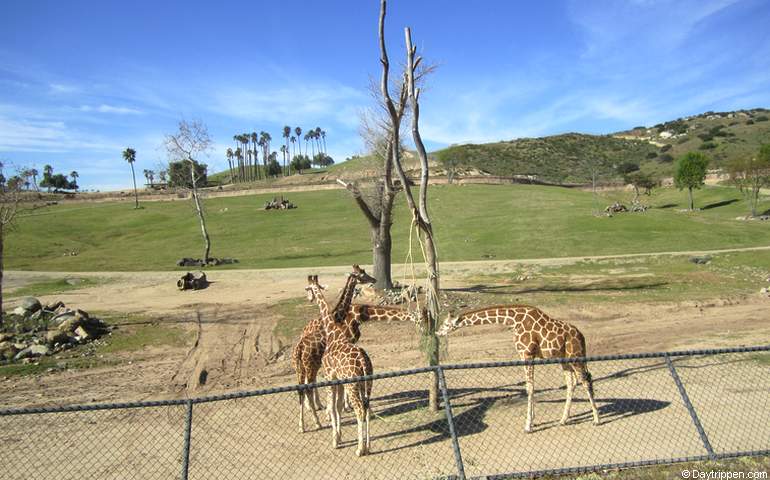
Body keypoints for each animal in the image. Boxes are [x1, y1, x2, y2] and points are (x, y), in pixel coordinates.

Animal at [292, 268, 376, 434]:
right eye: (362, 274)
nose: (373, 280)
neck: (337, 317)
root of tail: (299, 348)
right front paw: (339, 411)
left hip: (301, 368)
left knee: (302, 389)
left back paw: (302, 425)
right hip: (310, 366)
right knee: (308, 388)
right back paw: (317, 421)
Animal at [436, 306, 596, 434]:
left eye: (446, 324)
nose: (438, 332)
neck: (514, 321)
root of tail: (581, 336)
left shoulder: (527, 354)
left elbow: (530, 388)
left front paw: (528, 426)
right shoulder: (523, 355)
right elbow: (530, 387)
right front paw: (533, 421)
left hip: (575, 356)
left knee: (585, 380)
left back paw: (596, 419)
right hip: (565, 359)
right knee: (572, 383)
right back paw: (563, 420)